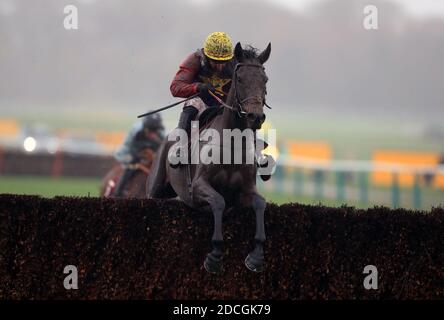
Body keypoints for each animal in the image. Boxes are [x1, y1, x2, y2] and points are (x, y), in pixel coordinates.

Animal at [147, 42, 270, 272]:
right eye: (240, 79)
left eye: (264, 79)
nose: (255, 116)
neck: (231, 145)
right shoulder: (198, 186)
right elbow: (218, 201)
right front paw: (214, 257)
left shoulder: (245, 191)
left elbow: (260, 204)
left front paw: (256, 258)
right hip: (155, 188)